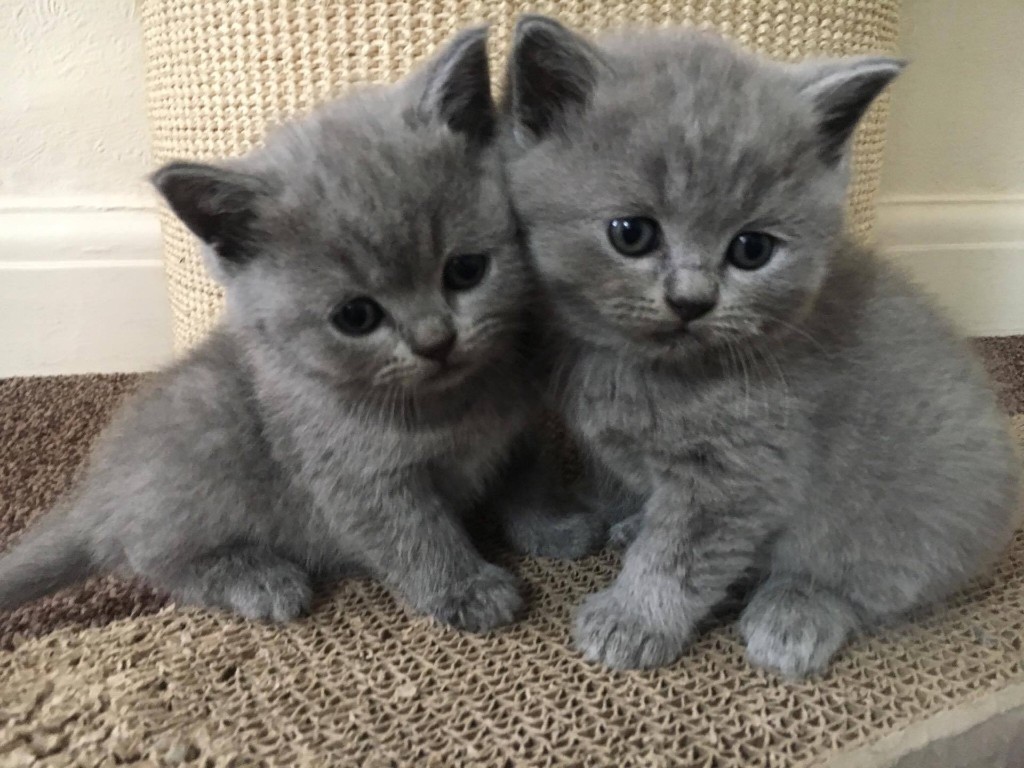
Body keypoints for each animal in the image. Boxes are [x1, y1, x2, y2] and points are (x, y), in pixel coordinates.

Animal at [4, 28, 536, 630]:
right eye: (356, 317)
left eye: (465, 270)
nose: (435, 342)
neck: (450, 408)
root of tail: (99, 493)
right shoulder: (353, 477)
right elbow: (411, 535)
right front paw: (466, 588)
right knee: (151, 556)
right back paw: (257, 577)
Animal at [499, 16, 1019, 679]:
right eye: (631, 233)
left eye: (752, 249)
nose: (692, 300)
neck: (648, 368)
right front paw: (632, 523)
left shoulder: (742, 476)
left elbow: (678, 556)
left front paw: (635, 619)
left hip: (900, 517)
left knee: (873, 579)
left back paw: (794, 612)